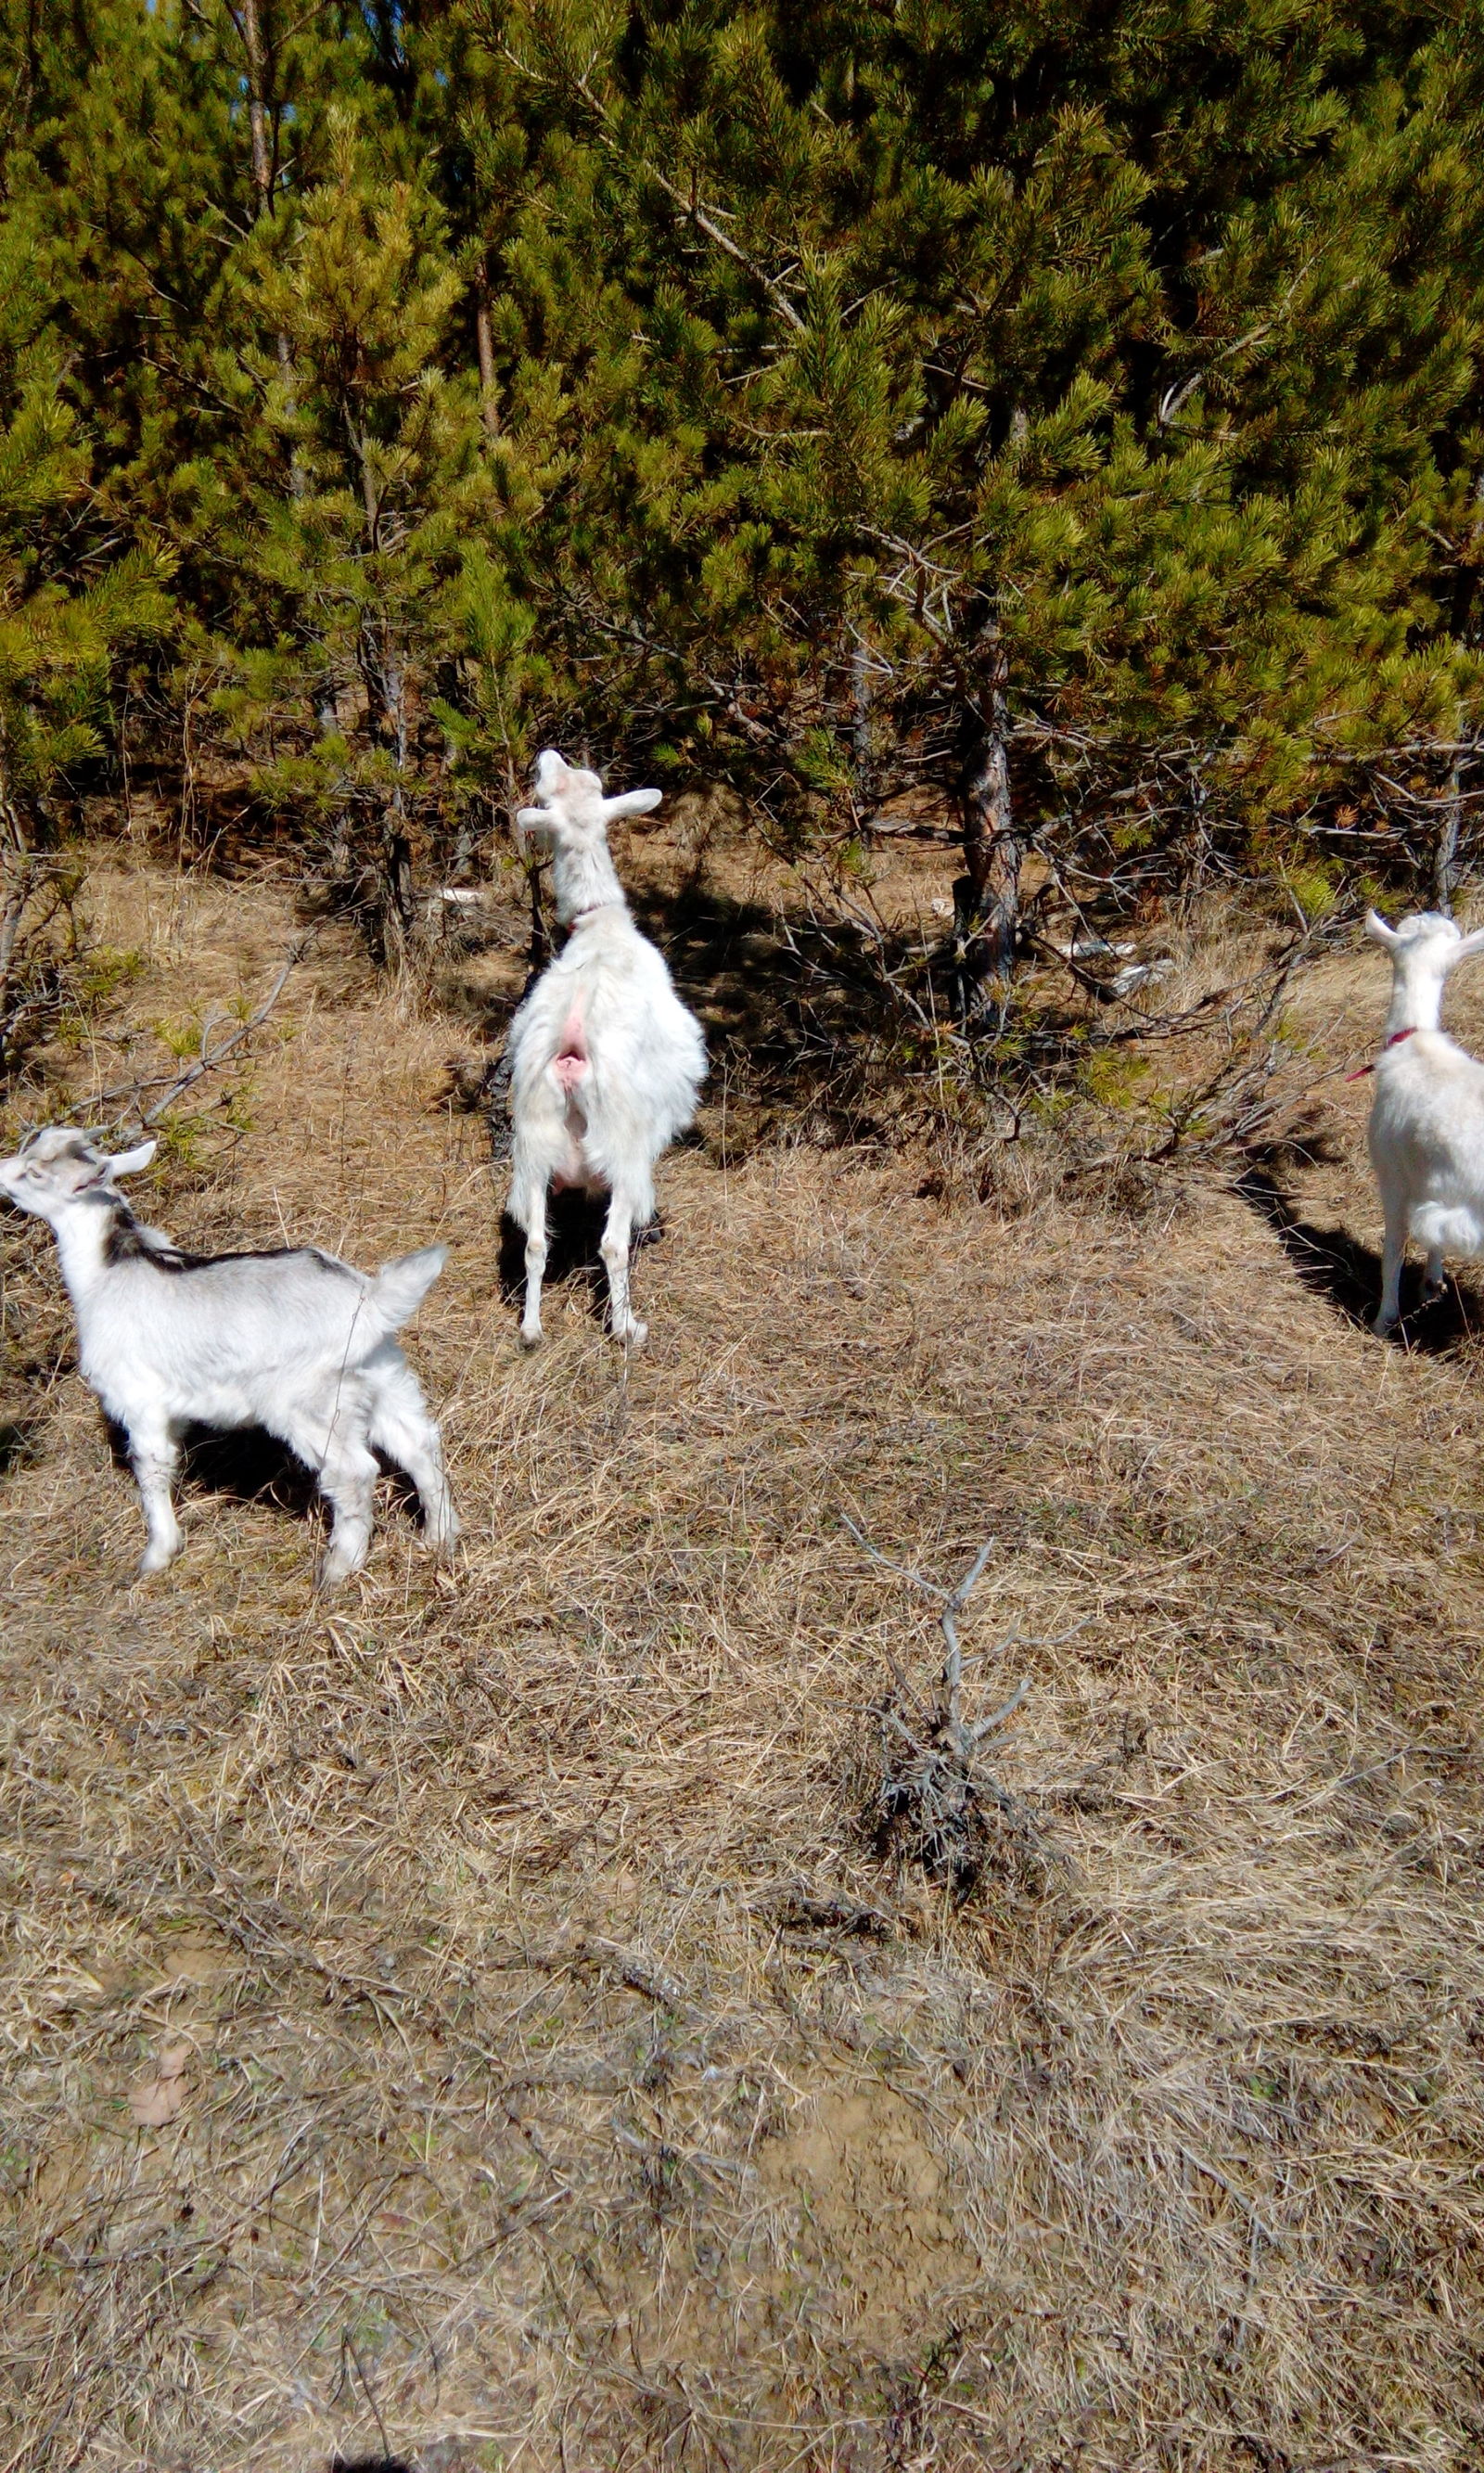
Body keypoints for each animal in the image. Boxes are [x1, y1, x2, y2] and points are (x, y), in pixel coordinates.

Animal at [0, 1127, 457, 1582]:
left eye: (34, 1172)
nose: (2, 1173)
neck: (106, 1271)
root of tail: (368, 1300)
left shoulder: (138, 1399)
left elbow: (151, 1467)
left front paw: (157, 1555)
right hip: (385, 1379)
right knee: (418, 1443)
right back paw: (438, 1537)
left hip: (309, 1403)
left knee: (353, 1472)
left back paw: (337, 1569)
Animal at [506, 747, 712, 1354]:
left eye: (587, 784)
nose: (546, 754)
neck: (599, 923)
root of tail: (572, 1049)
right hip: (626, 1151)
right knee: (613, 1245)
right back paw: (626, 1327)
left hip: (532, 1151)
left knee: (535, 1244)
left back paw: (531, 1330)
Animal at [1365, 910, 1484, 1335]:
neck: (1413, 1042)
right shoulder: (1429, 1178)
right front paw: (1432, 1283)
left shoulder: (1392, 1175)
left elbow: (1393, 1250)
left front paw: (1383, 1318)